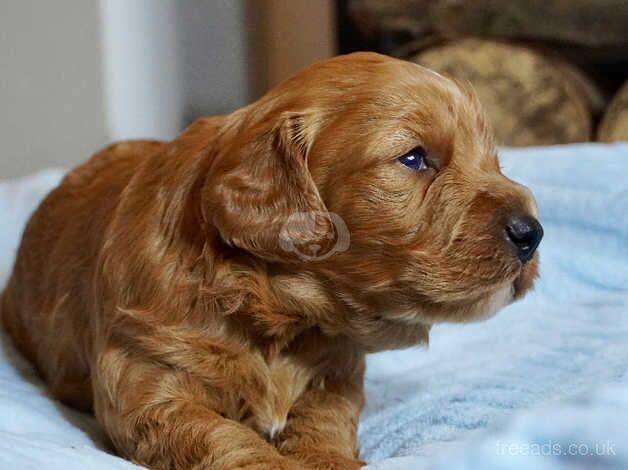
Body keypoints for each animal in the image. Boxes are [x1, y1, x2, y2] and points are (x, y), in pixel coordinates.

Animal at [0, 52, 540, 470]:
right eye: (413, 158)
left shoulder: (337, 372)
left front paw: (327, 458)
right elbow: (219, 435)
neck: (277, 313)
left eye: (494, 161)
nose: (531, 232)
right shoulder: (145, 376)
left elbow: (325, 420)